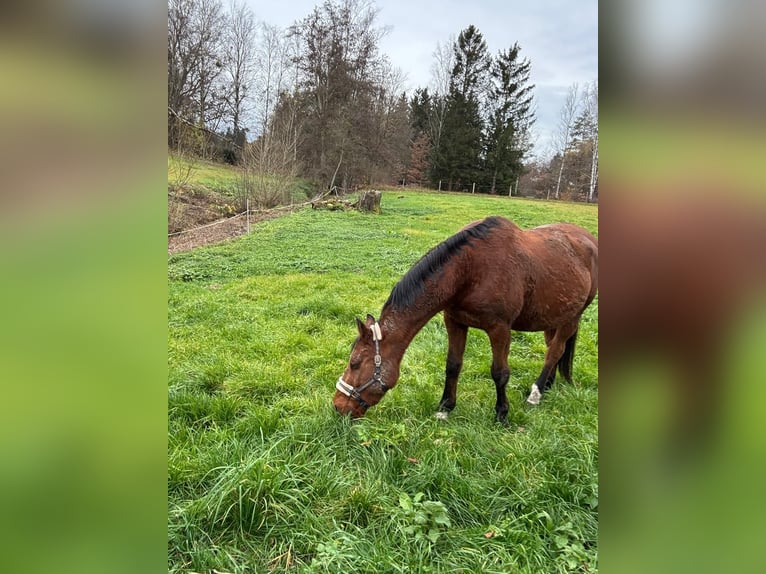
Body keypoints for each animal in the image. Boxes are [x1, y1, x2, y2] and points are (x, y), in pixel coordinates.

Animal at [333, 215, 599, 422]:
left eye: (355, 363)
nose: (337, 406)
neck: (469, 270)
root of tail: (589, 240)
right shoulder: (455, 322)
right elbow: (453, 365)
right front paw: (444, 408)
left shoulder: (500, 329)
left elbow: (500, 372)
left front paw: (502, 414)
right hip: (553, 318)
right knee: (554, 349)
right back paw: (547, 385)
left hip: (572, 318)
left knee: (555, 351)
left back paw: (536, 392)